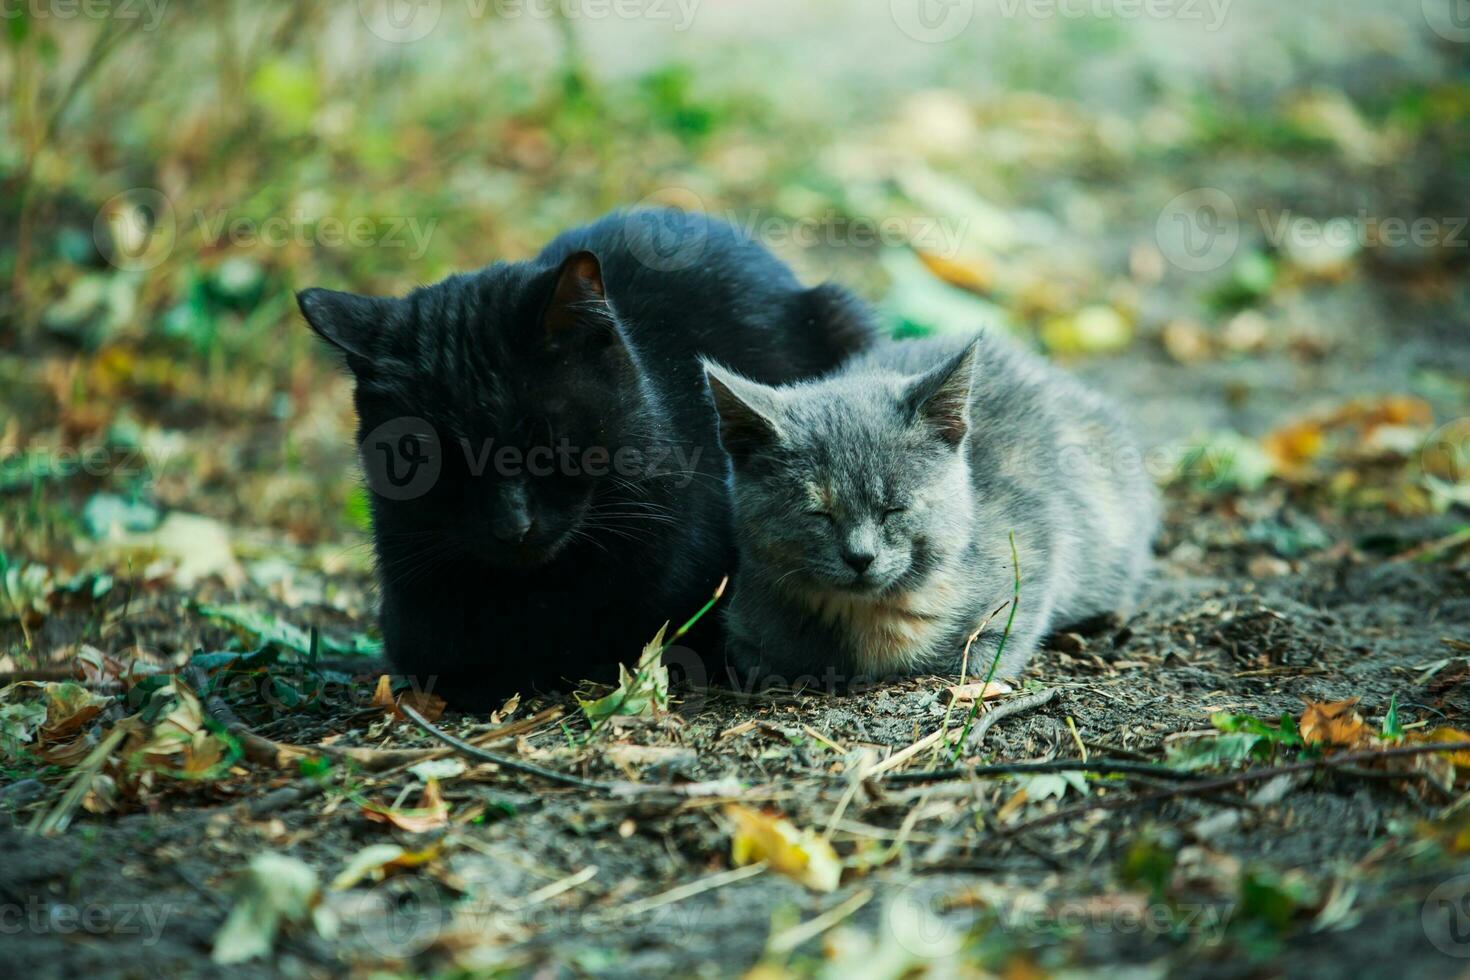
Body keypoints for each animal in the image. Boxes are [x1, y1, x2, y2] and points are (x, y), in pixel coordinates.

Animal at [699, 332, 1158, 690]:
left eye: (893, 508)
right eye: (818, 513)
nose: (860, 557)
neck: (868, 616)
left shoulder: (1032, 553)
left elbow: (984, 651)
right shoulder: (745, 625)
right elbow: (761, 661)